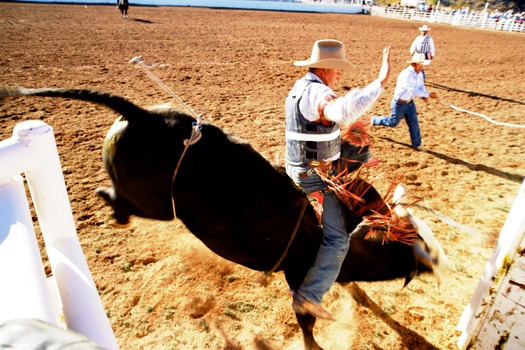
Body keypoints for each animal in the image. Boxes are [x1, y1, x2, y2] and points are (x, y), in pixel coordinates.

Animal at [2, 88, 448, 350]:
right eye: (417, 249)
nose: (440, 263)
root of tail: (141, 115)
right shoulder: (300, 277)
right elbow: (306, 322)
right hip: (155, 204)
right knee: (116, 199)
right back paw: (113, 208)